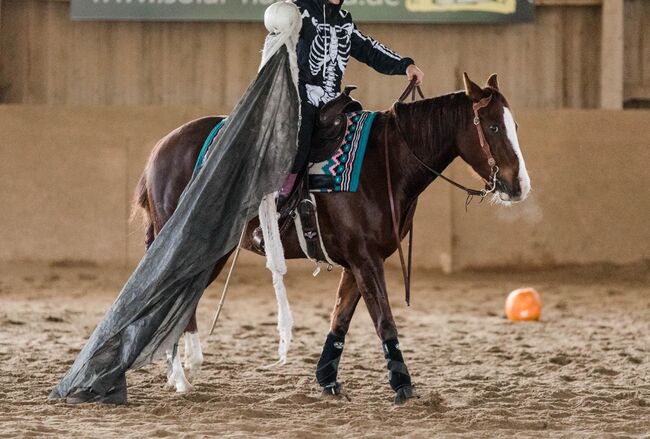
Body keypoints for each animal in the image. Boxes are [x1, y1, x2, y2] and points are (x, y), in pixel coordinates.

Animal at [130, 73, 528, 406]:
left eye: (514, 124)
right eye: (493, 126)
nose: (519, 185)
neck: (385, 163)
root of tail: (161, 148)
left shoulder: (358, 262)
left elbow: (341, 318)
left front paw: (328, 380)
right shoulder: (366, 260)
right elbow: (383, 319)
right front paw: (402, 385)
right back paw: (181, 376)